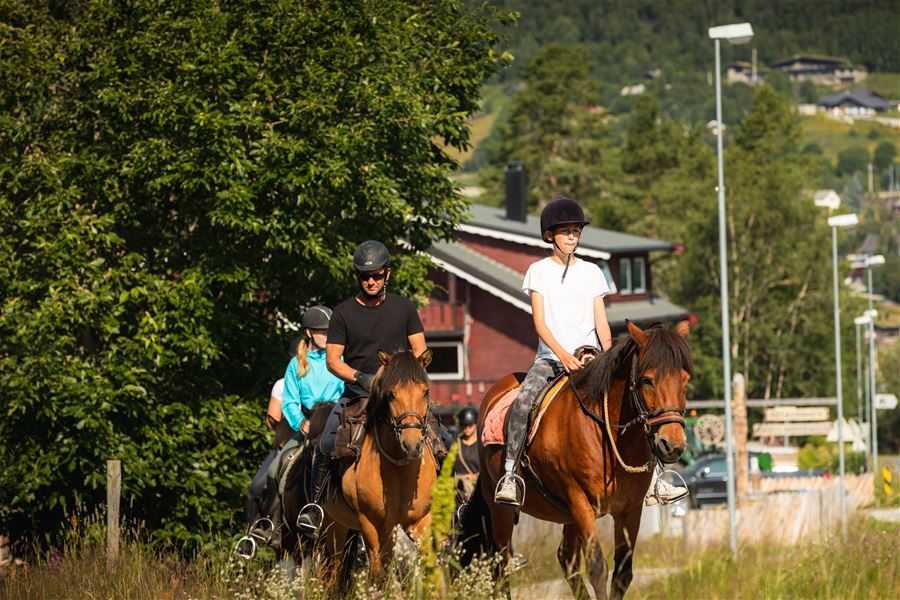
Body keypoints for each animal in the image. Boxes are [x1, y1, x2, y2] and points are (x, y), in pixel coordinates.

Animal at [316, 346, 440, 580]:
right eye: (391, 394)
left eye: (426, 392)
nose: (412, 445)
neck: (399, 467)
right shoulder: (371, 524)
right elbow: (378, 572)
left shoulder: (420, 521)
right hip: (332, 523)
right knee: (332, 569)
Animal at [460, 324, 692, 600]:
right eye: (647, 380)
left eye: (685, 380)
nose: (672, 445)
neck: (605, 434)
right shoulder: (581, 502)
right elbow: (597, 568)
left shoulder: (629, 509)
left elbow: (622, 574)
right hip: (502, 509)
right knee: (501, 565)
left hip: (566, 515)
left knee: (566, 558)